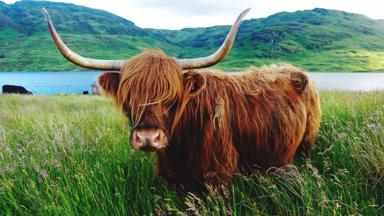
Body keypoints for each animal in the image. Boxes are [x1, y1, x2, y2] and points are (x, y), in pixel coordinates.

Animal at [43, 8, 320, 191]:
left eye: (172, 97)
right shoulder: (173, 178)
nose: (147, 138)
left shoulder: (218, 175)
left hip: (306, 145)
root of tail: (293, 70)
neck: (181, 144)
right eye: (129, 96)